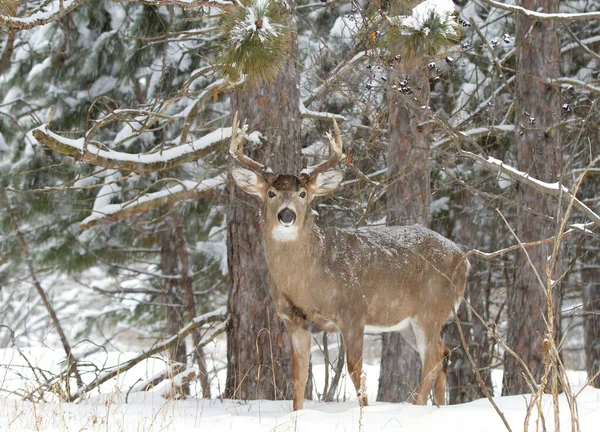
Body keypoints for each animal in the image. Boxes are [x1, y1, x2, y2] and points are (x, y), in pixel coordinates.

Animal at [230, 113, 468, 410]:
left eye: (303, 194)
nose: (287, 215)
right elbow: (298, 379)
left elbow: (355, 370)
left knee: (432, 360)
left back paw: (417, 407)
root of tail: (463, 260)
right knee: (443, 353)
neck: (310, 279)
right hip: (408, 323)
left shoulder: (353, 311)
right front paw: (297, 414)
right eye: (271, 193)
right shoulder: (293, 321)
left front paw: (364, 411)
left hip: (431, 309)